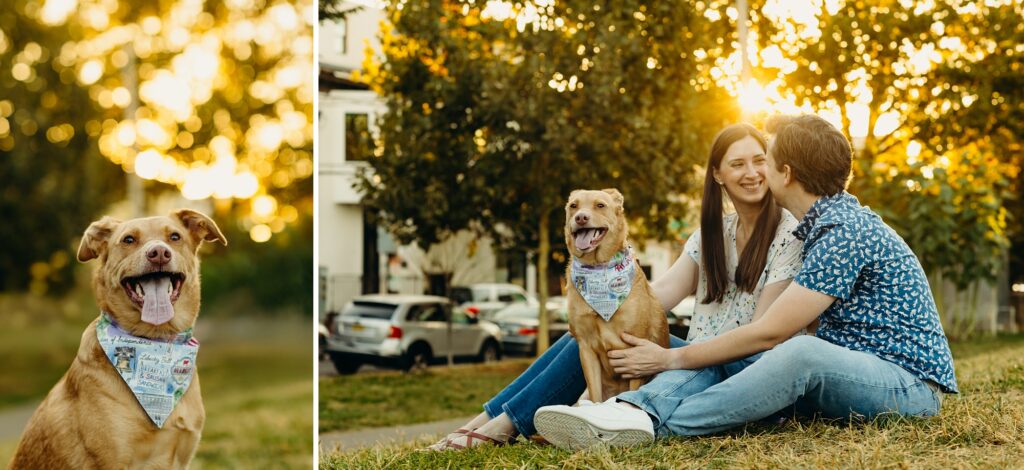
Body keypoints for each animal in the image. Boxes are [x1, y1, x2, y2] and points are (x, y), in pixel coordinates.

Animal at [565, 189, 667, 403]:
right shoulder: (586, 349)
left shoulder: (636, 352)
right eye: (573, 206)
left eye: (600, 205)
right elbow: (595, 396)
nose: (581, 218)